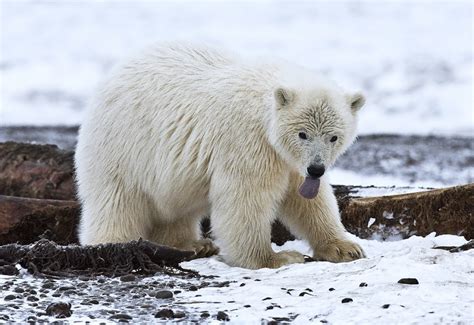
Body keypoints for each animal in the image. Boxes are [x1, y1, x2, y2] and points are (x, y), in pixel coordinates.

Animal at [76, 43, 366, 268]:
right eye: (302, 134)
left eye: (333, 137)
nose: (316, 168)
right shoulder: (247, 141)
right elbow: (245, 199)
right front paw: (276, 258)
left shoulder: (289, 161)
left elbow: (308, 199)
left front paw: (345, 248)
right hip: (123, 149)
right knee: (117, 203)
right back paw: (114, 245)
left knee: (176, 209)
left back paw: (193, 244)